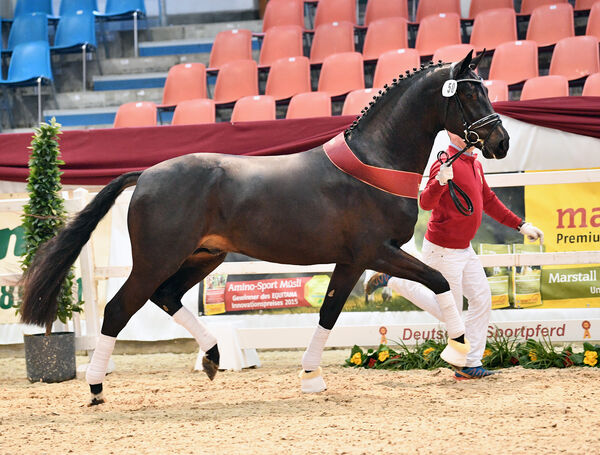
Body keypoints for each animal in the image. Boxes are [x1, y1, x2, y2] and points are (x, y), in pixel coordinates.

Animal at [18, 51, 508, 404]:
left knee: (167, 296)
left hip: (203, 256)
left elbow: (329, 312)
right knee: (119, 309)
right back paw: (96, 387)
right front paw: (459, 348)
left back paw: (213, 356)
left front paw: (311, 377)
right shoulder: (376, 251)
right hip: (157, 259)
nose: (500, 142)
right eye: (470, 96)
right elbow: (438, 279)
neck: (376, 160)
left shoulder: (351, 261)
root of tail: (147, 174)